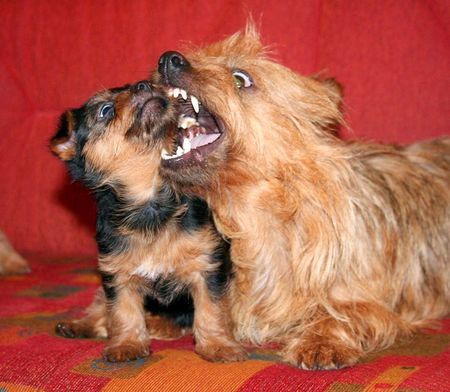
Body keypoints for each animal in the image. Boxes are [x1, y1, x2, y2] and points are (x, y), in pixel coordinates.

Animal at [50, 81, 246, 362]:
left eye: (145, 84)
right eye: (105, 110)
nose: (144, 85)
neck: (150, 200)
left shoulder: (206, 266)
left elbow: (212, 309)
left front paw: (219, 346)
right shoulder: (117, 273)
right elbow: (123, 310)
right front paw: (126, 345)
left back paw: (157, 325)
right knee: (102, 308)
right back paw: (78, 326)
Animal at [152, 26, 450, 370]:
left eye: (241, 78)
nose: (167, 59)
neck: (254, 219)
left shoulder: (367, 301)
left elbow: (342, 312)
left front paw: (321, 341)